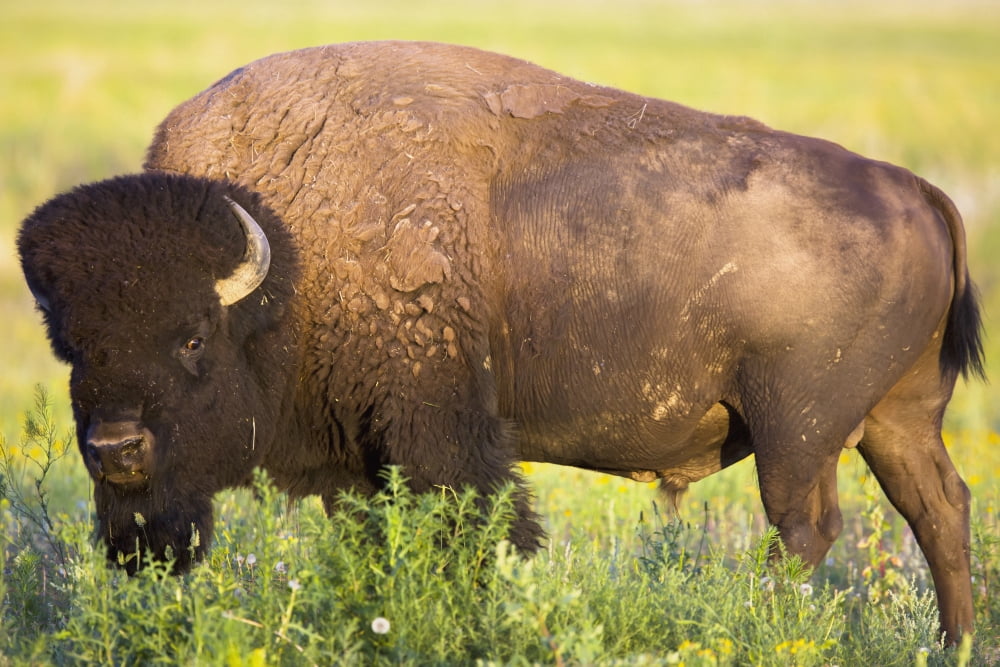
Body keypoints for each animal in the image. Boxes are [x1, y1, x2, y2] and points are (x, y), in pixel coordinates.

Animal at [18, 41, 982, 643]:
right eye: (73, 347)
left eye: (191, 339)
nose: (117, 449)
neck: (291, 251)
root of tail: (918, 191)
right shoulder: (358, 459)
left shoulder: (440, 429)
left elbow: (483, 528)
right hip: (896, 420)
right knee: (938, 509)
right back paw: (952, 642)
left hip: (798, 430)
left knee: (805, 528)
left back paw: (756, 615)